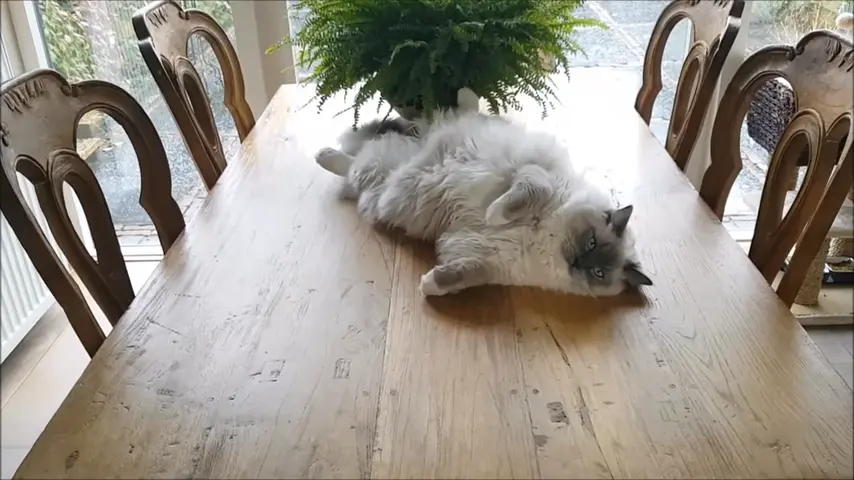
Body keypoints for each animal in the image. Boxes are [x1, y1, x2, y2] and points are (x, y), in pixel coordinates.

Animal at [314, 87, 656, 296]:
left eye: (598, 273)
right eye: (591, 242)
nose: (576, 264)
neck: (548, 237)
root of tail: (418, 144)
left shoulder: (487, 261)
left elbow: (458, 276)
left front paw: (428, 285)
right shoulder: (535, 177)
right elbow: (517, 197)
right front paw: (495, 214)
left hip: (384, 179)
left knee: (356, 167)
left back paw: (326, 155)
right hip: (395, 162)